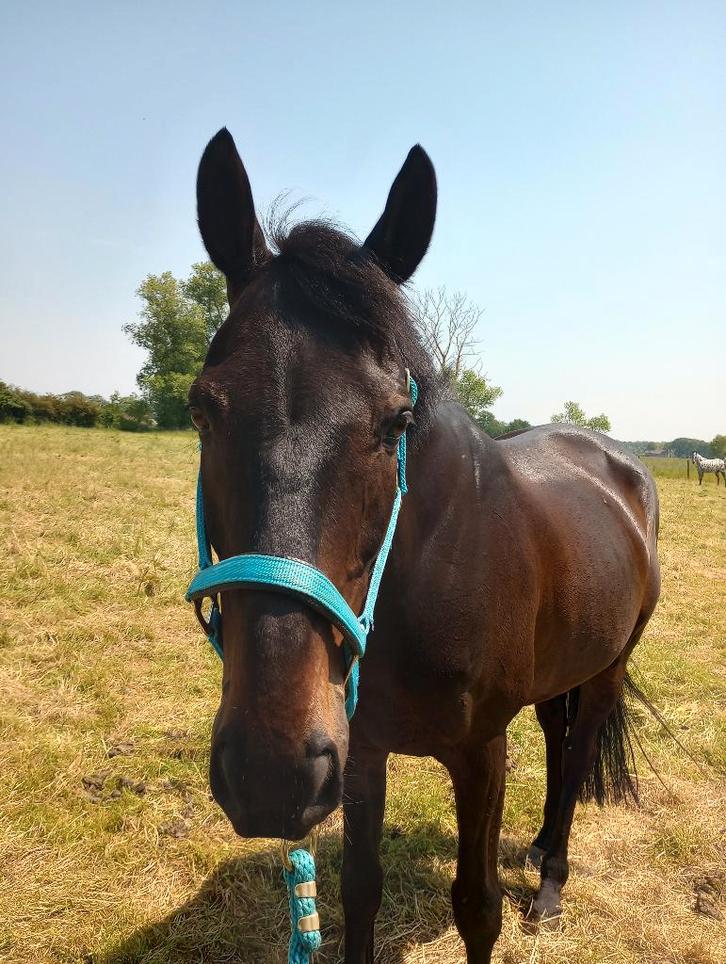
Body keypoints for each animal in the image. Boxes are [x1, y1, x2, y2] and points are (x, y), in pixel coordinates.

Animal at [187, 128, 661, 963]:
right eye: (202, 410)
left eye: (395, 423)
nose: (270, 772)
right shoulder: (356, 751)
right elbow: (359, 891)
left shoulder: (480, 752)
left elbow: (476, 906)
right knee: (557, 733)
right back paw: (540, 846)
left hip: (608, 668)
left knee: (576, 756)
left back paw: (551, 883)